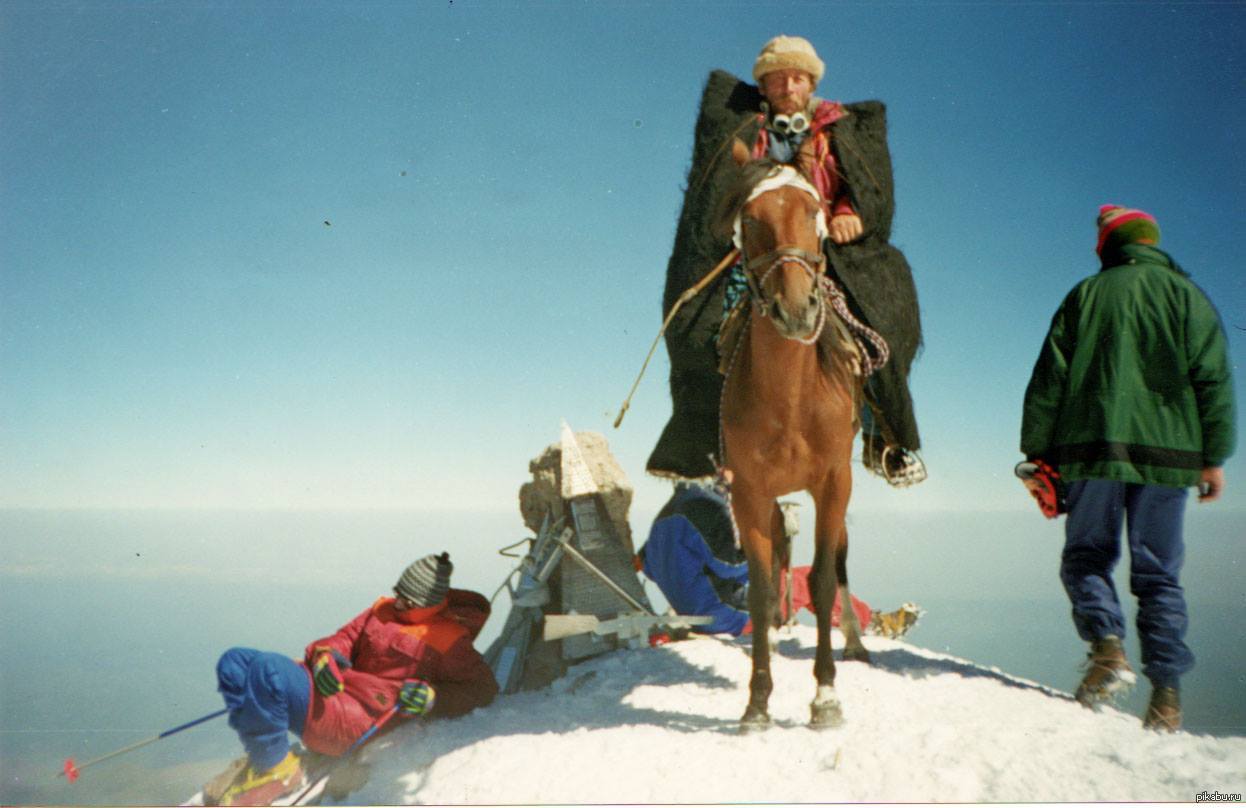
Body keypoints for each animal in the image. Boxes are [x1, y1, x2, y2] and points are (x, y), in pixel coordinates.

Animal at [717, 145, 872, 733]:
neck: (789, 400)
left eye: (814, 212)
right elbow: (759, 590)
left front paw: (825, 696)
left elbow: (825, 579)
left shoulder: (833, 482)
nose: (797, 309)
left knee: (841, 560)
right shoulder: (748, 492)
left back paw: (854, 642)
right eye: (751, 218)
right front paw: (758, 700)